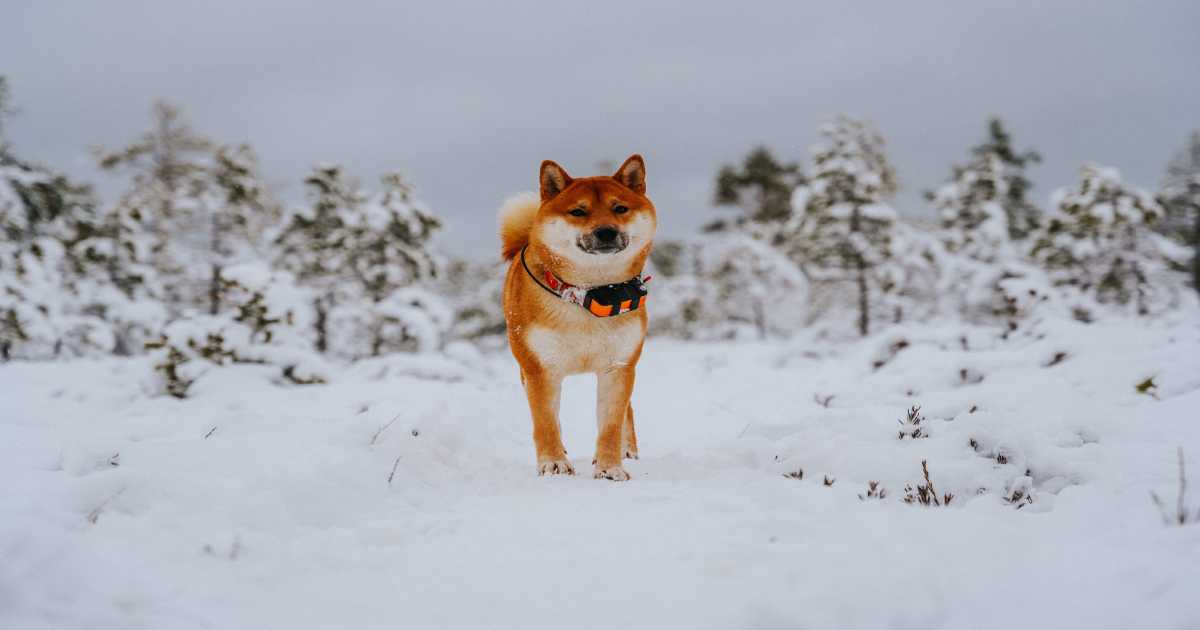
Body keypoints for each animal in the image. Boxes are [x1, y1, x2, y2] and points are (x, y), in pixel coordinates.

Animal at [501, 154, 662, 480]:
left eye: (619, 208)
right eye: (578, 211)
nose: (606, 231)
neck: (588, 296)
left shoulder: (618, 367)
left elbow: (611, 424)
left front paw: (610, 467)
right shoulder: (540, 369)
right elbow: (546, 422)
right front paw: (553, 463)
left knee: (627, 412)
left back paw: (627, 450)